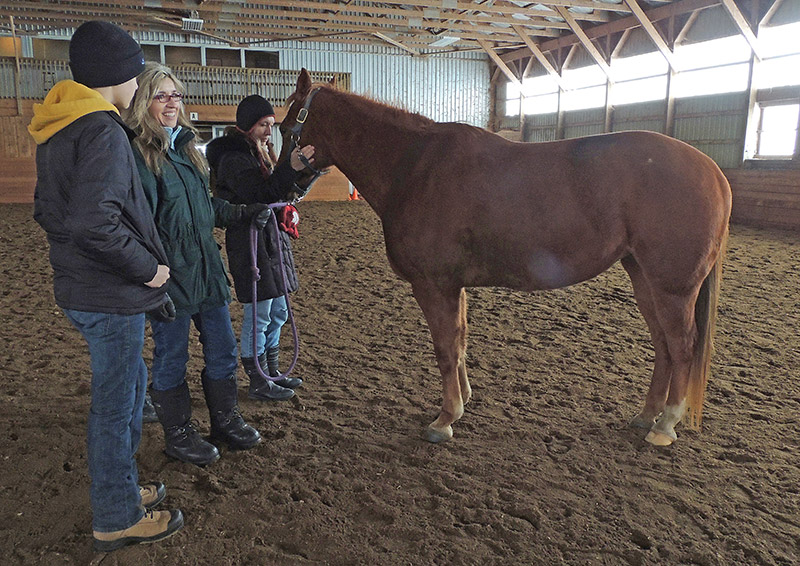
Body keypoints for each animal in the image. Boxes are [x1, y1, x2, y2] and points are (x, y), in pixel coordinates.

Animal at [279, 68, 732, 447]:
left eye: (286, 128)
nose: (283, 184)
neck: (416, 166)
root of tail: (713, 171)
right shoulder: (454, 286)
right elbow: (460, 342)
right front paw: (462, 401)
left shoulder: (434, 285)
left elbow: (445, 348)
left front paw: (444, 419)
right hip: (643, 277)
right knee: (663, 345)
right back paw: (646, 416)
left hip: (673, 288)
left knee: (682, 346)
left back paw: (665, 426)